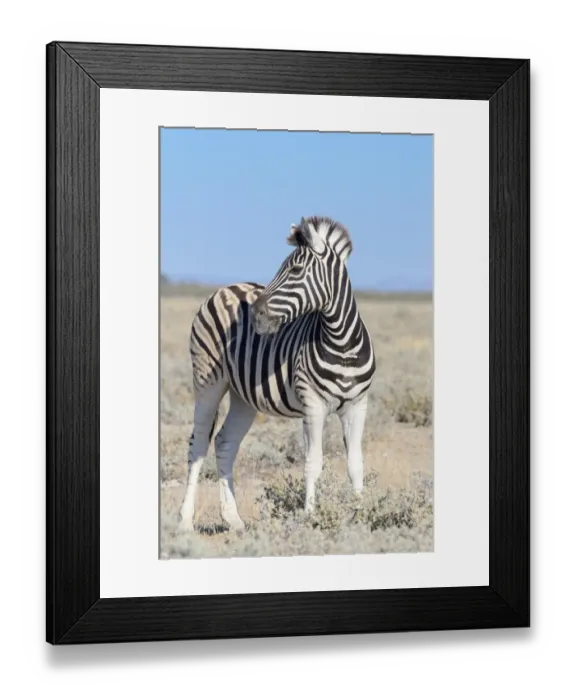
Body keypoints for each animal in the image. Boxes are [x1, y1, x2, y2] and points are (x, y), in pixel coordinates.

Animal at [178, 215, 376, 533]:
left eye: (295, 270)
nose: (256, 312)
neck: (342, 342)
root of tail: (225, 288)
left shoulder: (358, 405)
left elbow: (356, 464)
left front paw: (359, 519)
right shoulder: (313, 404)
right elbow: (313, 463)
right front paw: (309, 518)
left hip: (243, 395)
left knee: (224, 442)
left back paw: (233, 518)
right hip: (208, 381)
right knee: (198, 445)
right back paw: (185, 520)